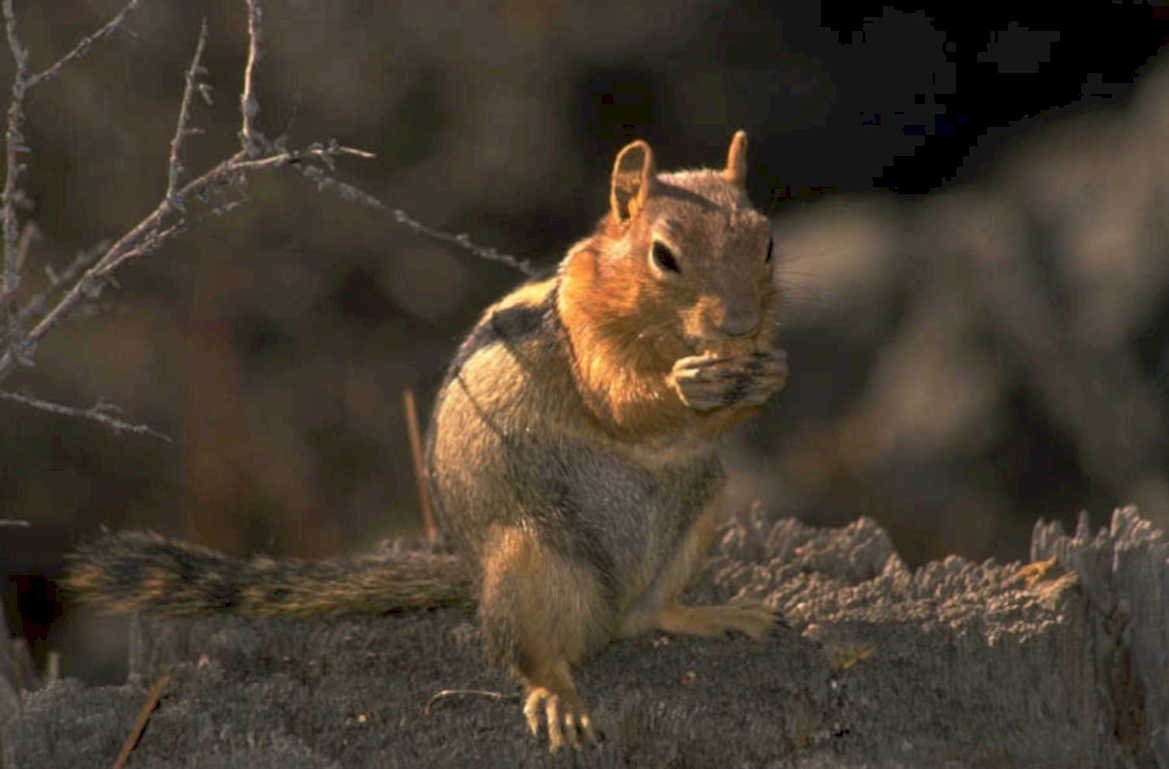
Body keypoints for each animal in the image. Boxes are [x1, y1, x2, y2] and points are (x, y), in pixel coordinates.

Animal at [66, 130, 788, 753]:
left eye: (768, 243)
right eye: (663, 256)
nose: (740, 324)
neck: (658, 328)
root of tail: (472, 575)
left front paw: (770, 371)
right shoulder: (584, 332)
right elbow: (618, 400)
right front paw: (685, 381)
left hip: (700, 511)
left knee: (650, 614)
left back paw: (711, 614)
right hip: (531, 557)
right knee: (528, 655)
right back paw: (559, 698)